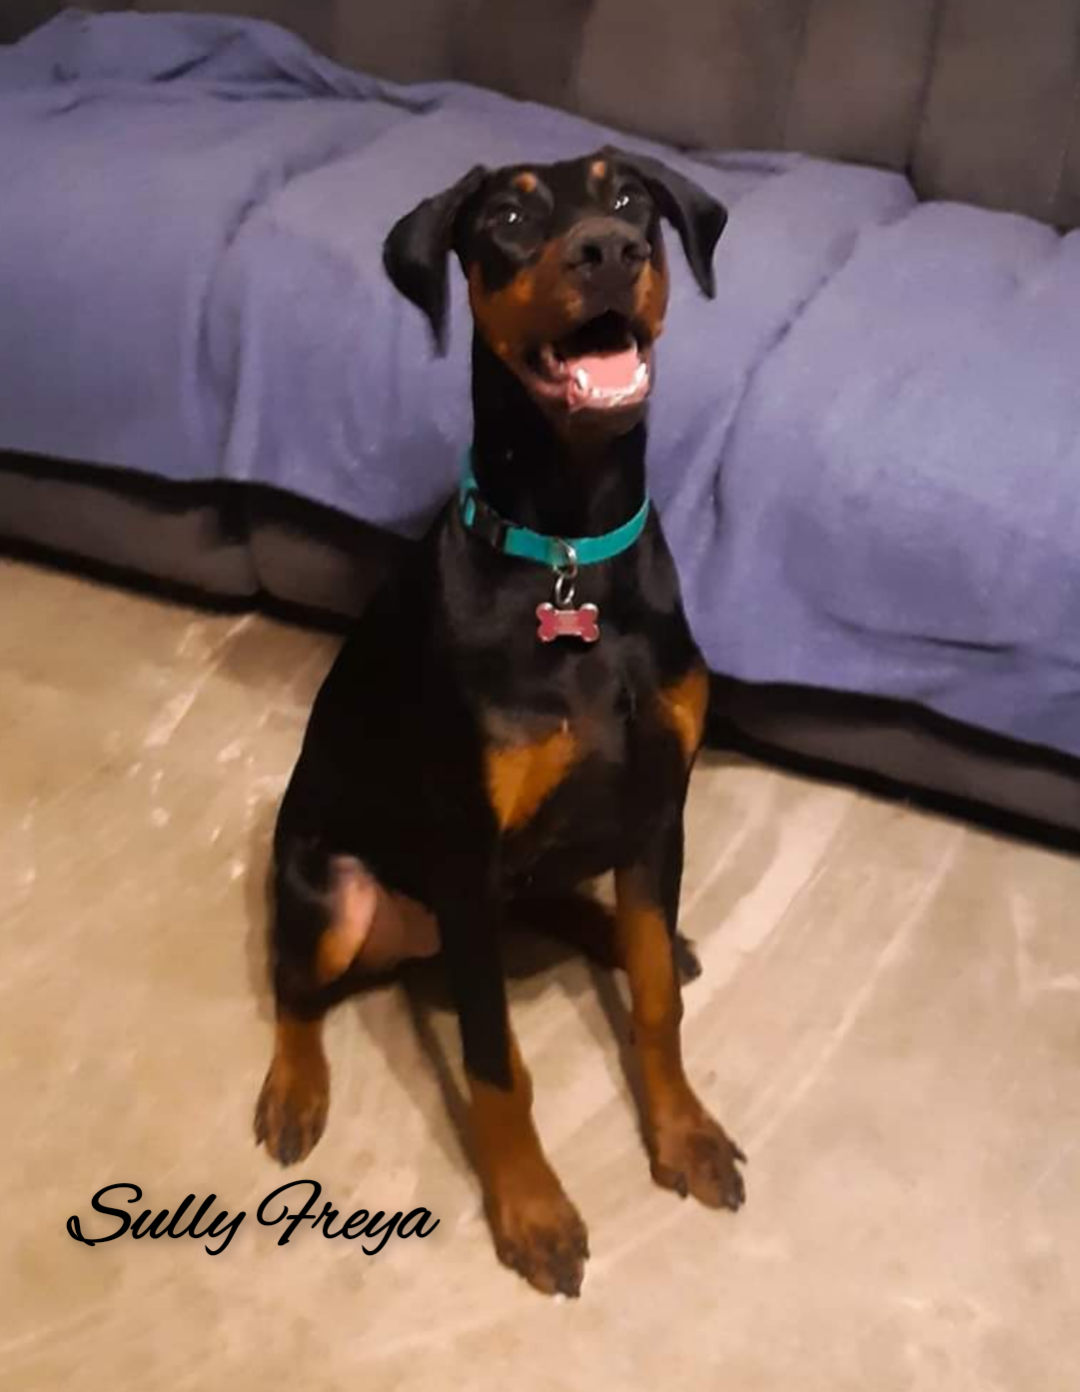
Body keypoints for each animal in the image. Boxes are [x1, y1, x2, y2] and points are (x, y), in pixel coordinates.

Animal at [254, 148, 745, 1297]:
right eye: (510, 219)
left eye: (628, 198)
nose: (608, 250)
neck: (570, 553)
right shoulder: (468, 857)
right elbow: (494, 1065)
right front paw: (531, 1209)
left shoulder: (658, 806)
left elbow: (657, 1008)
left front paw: (685, 1133)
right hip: (332, 888)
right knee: (295, 987)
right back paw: (295, 1088)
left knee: (588, 912)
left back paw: (631, 934)